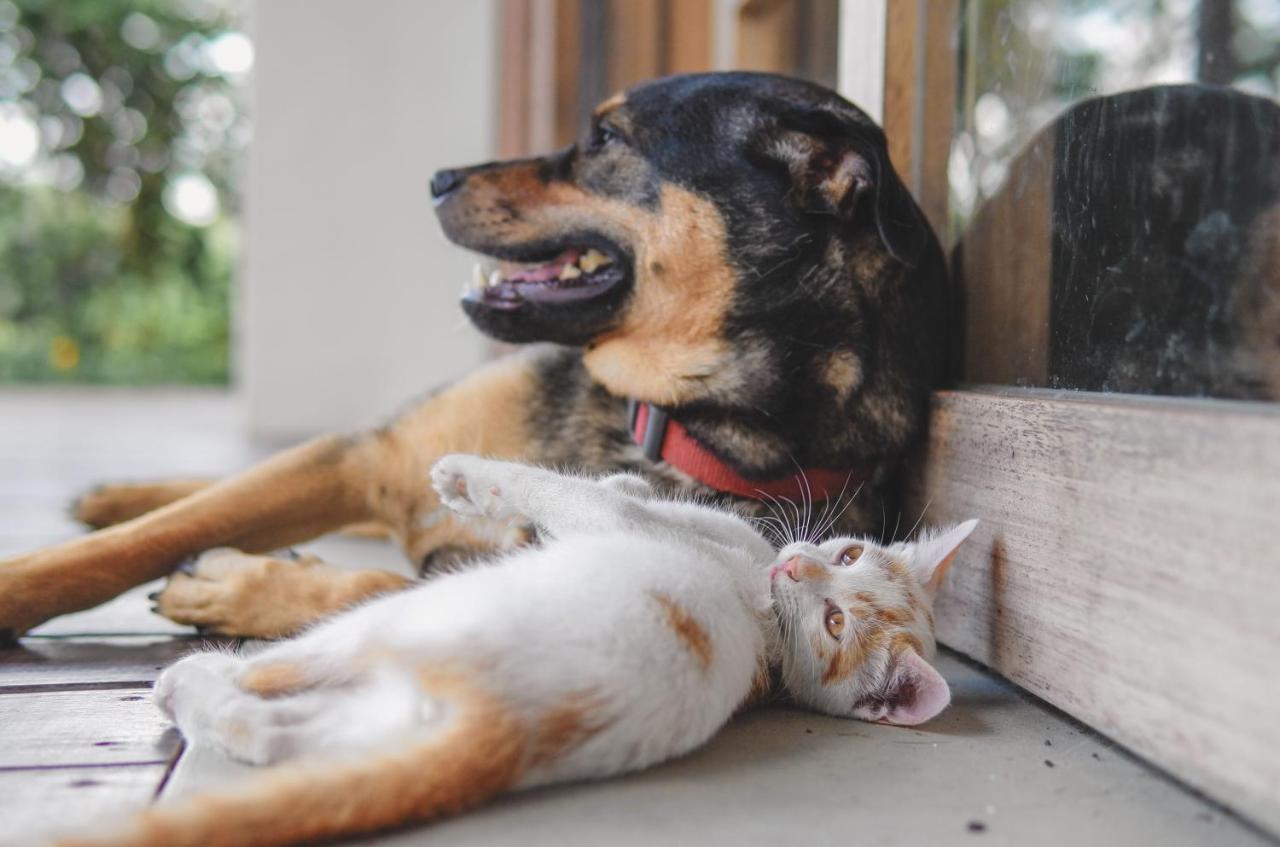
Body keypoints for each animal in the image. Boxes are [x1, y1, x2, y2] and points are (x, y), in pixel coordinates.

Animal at [0, 74, 952, 644]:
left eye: (607, 141)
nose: (437, 178)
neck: (653, 414)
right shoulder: (370, 457)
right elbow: (143, 540)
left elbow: (375, 588)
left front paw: (238, 585)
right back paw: (115, 493)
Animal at [45, 458, 972, 847]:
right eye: (848, 557)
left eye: (835, 624)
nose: (797, 564)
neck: (764, 618)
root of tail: (506, 728)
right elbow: (619, 488)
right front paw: (631, 474)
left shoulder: (611, 522)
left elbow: (555, 486)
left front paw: (465, 474)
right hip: (379, 716)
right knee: (277, 734)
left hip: (396, 617)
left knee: (274, 674)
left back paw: (190, 679)